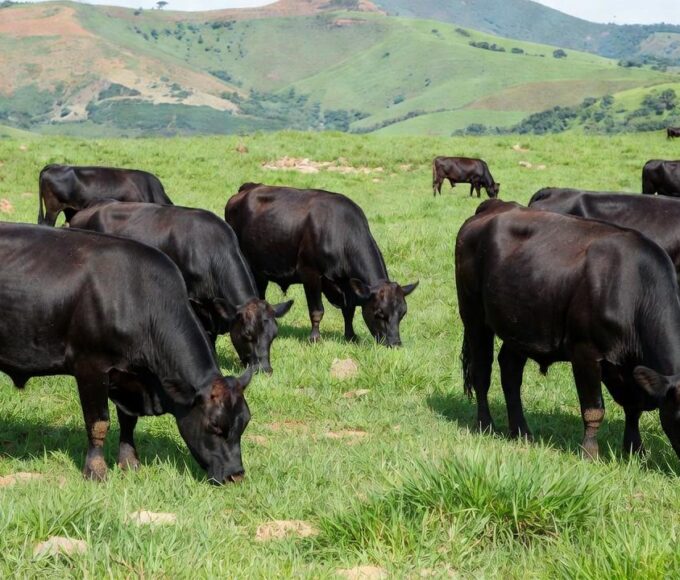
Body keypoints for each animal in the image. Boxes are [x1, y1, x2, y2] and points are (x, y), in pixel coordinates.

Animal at [0, 223, 252, 484]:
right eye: (215, 426)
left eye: (245, 423)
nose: (236, 475)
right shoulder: (90, 368)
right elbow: (98, 423)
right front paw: (96, 471)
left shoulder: (129, 379)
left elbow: (128, 421)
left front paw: (130, 463)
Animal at [225, 183, 418, 346]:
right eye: (379, 313)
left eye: (403, 313)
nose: (395, 344)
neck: (340, 232)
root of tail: (248, 187)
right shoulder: (310, 273)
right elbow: (317, 310)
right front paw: (315, 338)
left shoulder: (345, 283)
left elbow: (349, 309)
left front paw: (351, 336)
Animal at [456, 199, 680, 460]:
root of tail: (497, 204)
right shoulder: (585, 353)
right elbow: (594, 409)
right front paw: (590, 453)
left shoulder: (628, 369)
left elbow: (633, 408)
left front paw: (635, 450)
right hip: (473, 314)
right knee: (481, 371)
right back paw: (485, 425)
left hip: (520, 325)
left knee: (510, 371)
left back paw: (521, 431)